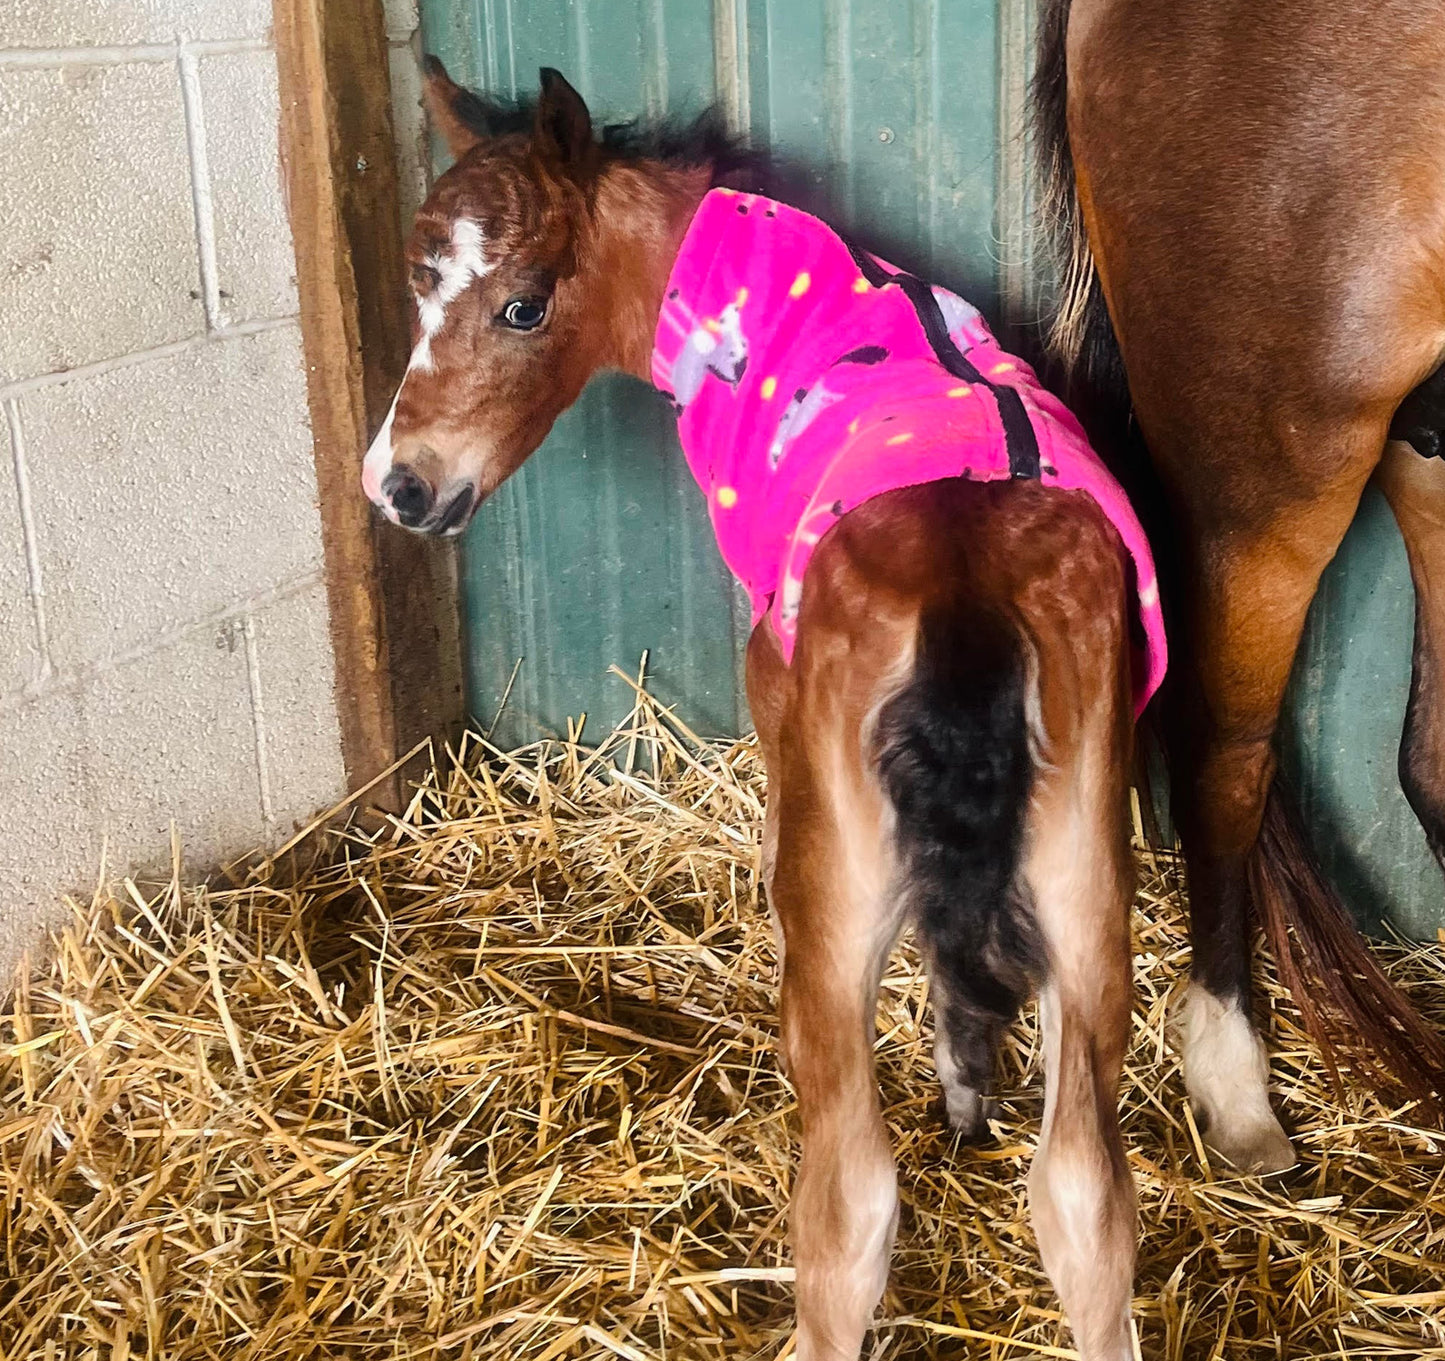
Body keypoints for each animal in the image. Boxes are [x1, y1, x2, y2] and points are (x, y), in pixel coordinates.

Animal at [361, 69, 1138, 1361]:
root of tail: (965, 597)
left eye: (523, 305)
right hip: (1086, 894)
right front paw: (960, 1076)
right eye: (418, 281)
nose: (400, 487)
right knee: (1082, 1196)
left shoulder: (770, 690)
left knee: (851, 1201)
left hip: (845, 900)